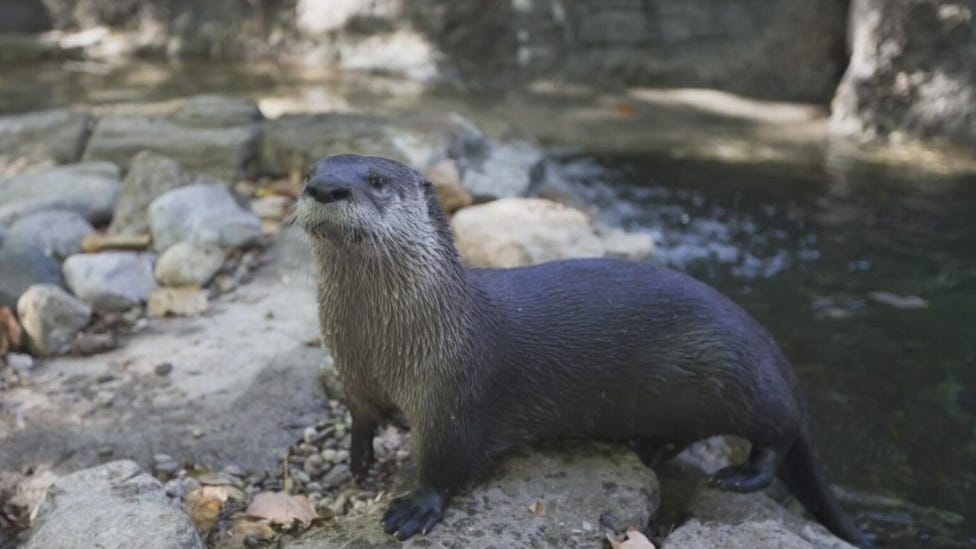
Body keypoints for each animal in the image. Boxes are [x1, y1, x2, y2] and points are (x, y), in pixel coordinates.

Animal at [296, 154, 869, 546]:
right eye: (312, 171)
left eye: (376, 181)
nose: (325, 187)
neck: (382, 347)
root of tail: (774, 351)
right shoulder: (354, 375)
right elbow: (361, 417)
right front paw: (359, 461)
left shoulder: (454, 391)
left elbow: (445, 459)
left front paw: (415, 506)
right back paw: (649, 449)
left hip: (742, 376)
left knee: (781, 434)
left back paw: (740, 476)